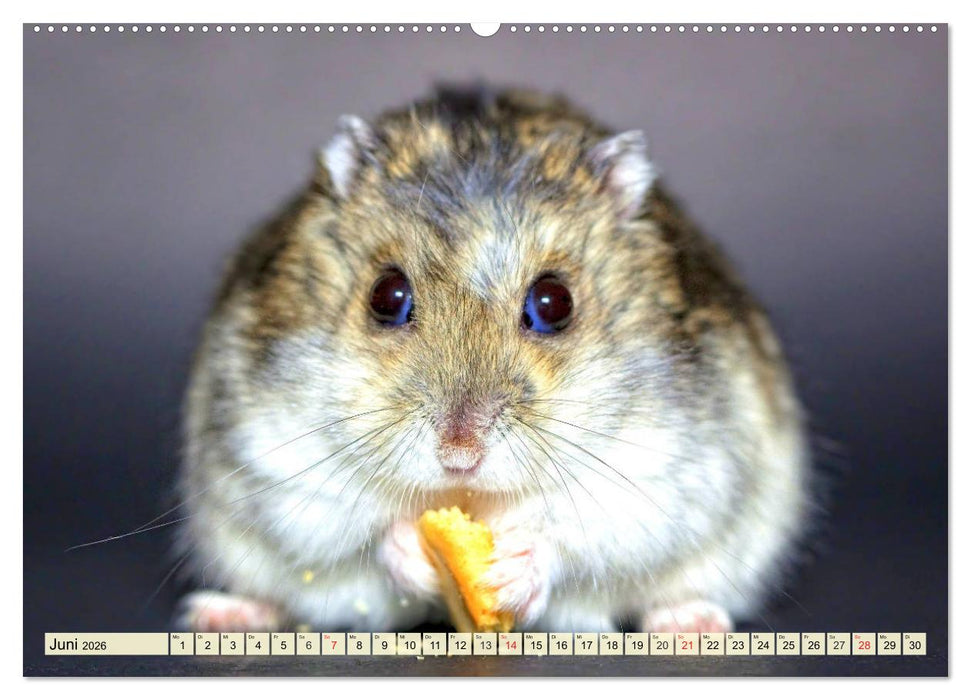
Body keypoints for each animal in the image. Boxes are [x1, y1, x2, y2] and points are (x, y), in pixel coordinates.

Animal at [175, 87, 810, 634]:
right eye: (386, 296)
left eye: (554, 303)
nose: (460, 456)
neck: (472, 497)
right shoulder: (276, 459)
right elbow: (360, 531)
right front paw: (413, 548)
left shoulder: (664, 472)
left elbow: (576, 534)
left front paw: (511, 569)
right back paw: (220, 614)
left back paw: (689, 625)